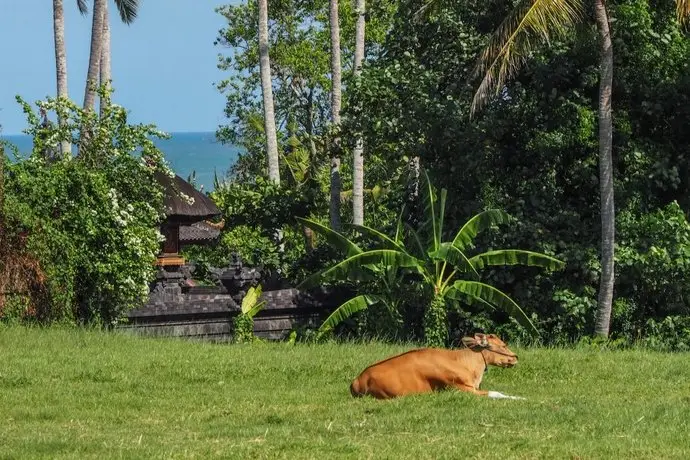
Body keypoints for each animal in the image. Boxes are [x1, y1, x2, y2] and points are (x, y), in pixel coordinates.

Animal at [350, 334, 520, 398]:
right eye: (503, 345)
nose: (516, 358)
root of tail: (358, 379)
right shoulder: (460, 388)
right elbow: (495, 393)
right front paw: (519, 398)